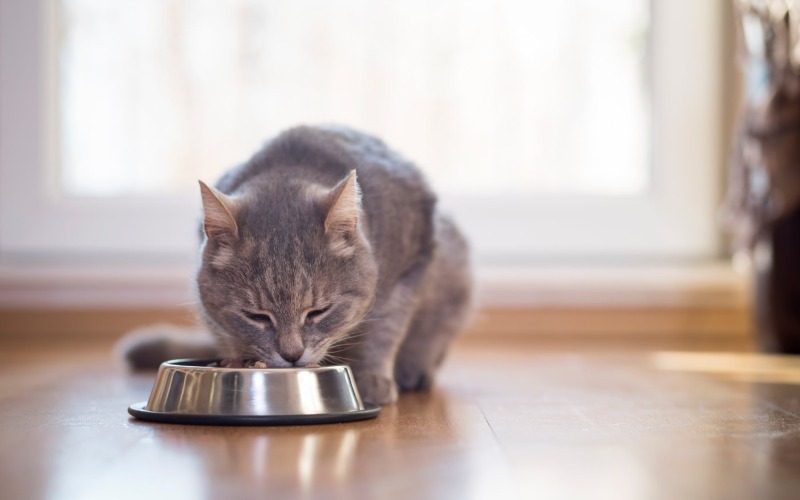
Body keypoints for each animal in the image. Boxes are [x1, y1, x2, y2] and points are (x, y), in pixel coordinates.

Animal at [121, 125, 472, 406]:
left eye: (319, 312)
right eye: (256, 316)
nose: (291, 355)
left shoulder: (409, 269)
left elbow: (384, 330)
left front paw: (373, 378)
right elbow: (227, 332)